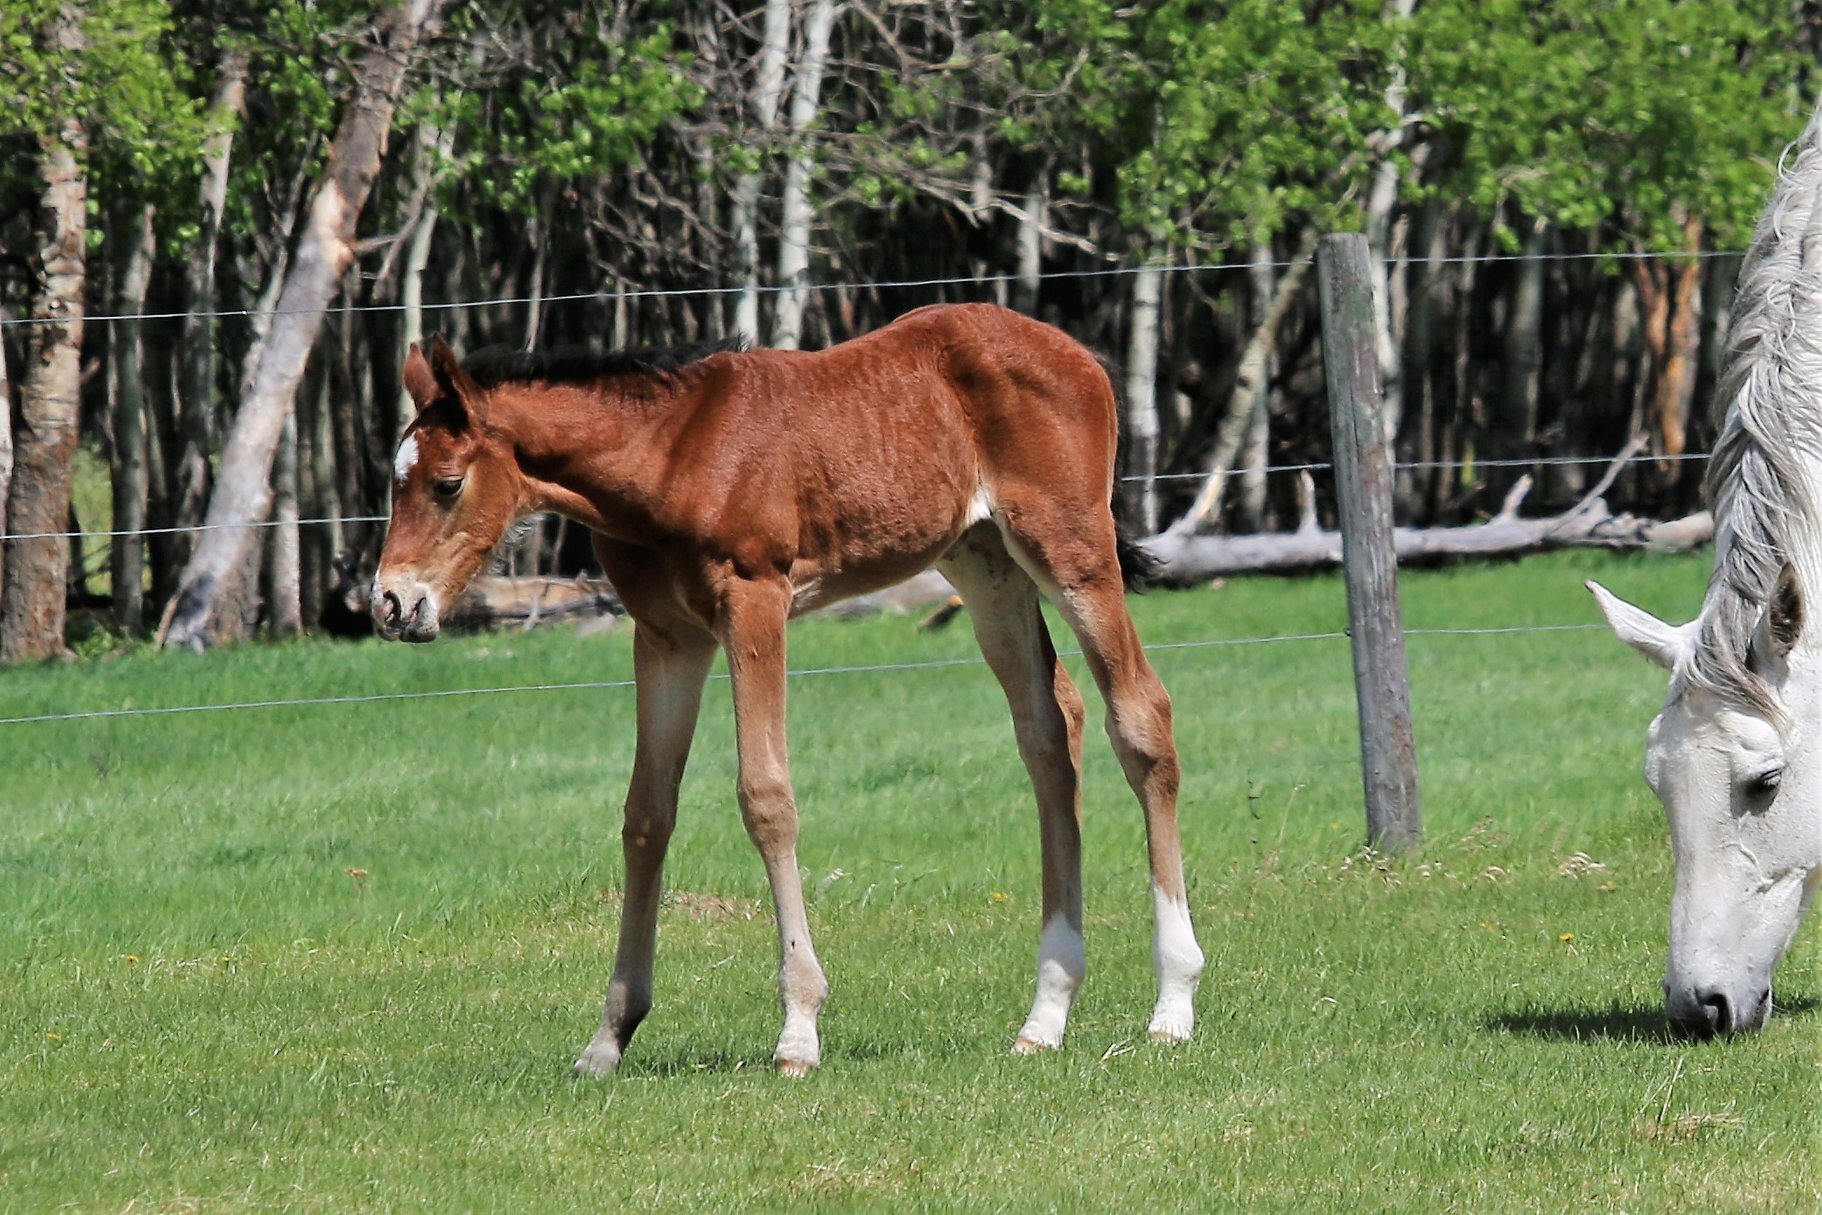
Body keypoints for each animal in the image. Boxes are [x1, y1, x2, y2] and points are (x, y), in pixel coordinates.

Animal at [368, 302, 1195, 1071]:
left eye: (447, 484)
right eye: (393, 483)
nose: (390, 604)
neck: (670, 454)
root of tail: (1079, 355)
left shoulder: (755, 600)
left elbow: (766, 796)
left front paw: (798, 1028)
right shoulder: (667, 635)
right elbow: (647, 815)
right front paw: (608, 1037)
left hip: (1071, 549)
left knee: (1140, 715)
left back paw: (1173, 1004)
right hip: (985, 562)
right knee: (1050, 730)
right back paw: (1045, 1014)